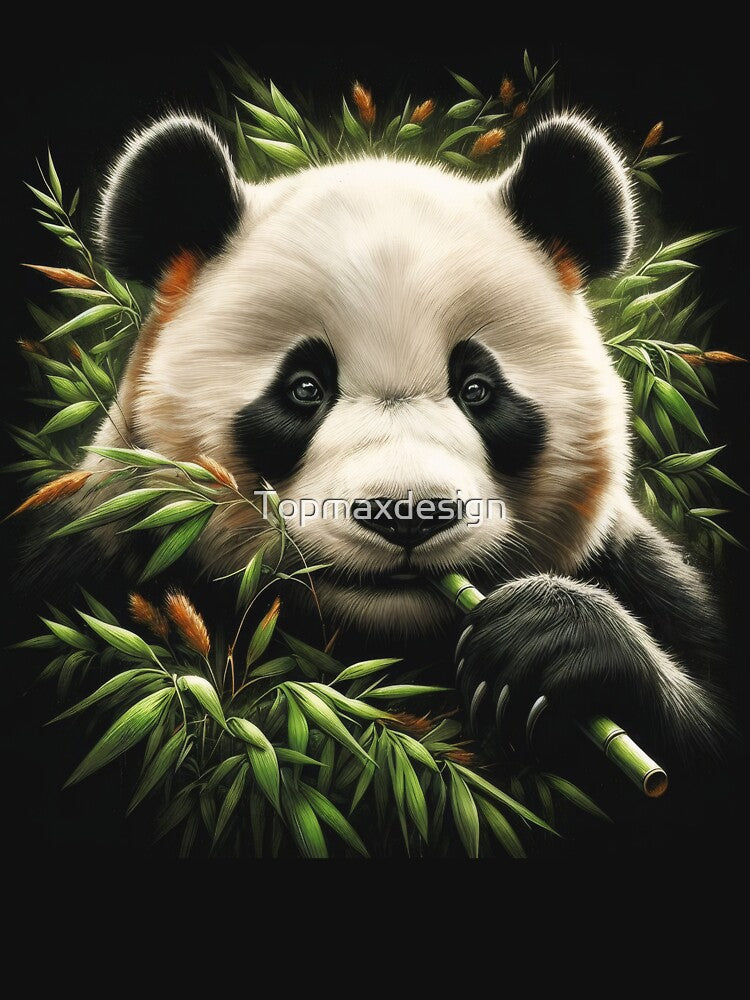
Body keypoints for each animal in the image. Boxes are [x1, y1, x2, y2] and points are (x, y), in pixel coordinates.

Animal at [43, 111, 726, 762]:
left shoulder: (642, 577)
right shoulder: (102, 552)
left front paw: (549, 639)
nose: (408, 514)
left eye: (477, 389)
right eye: (304, 388)